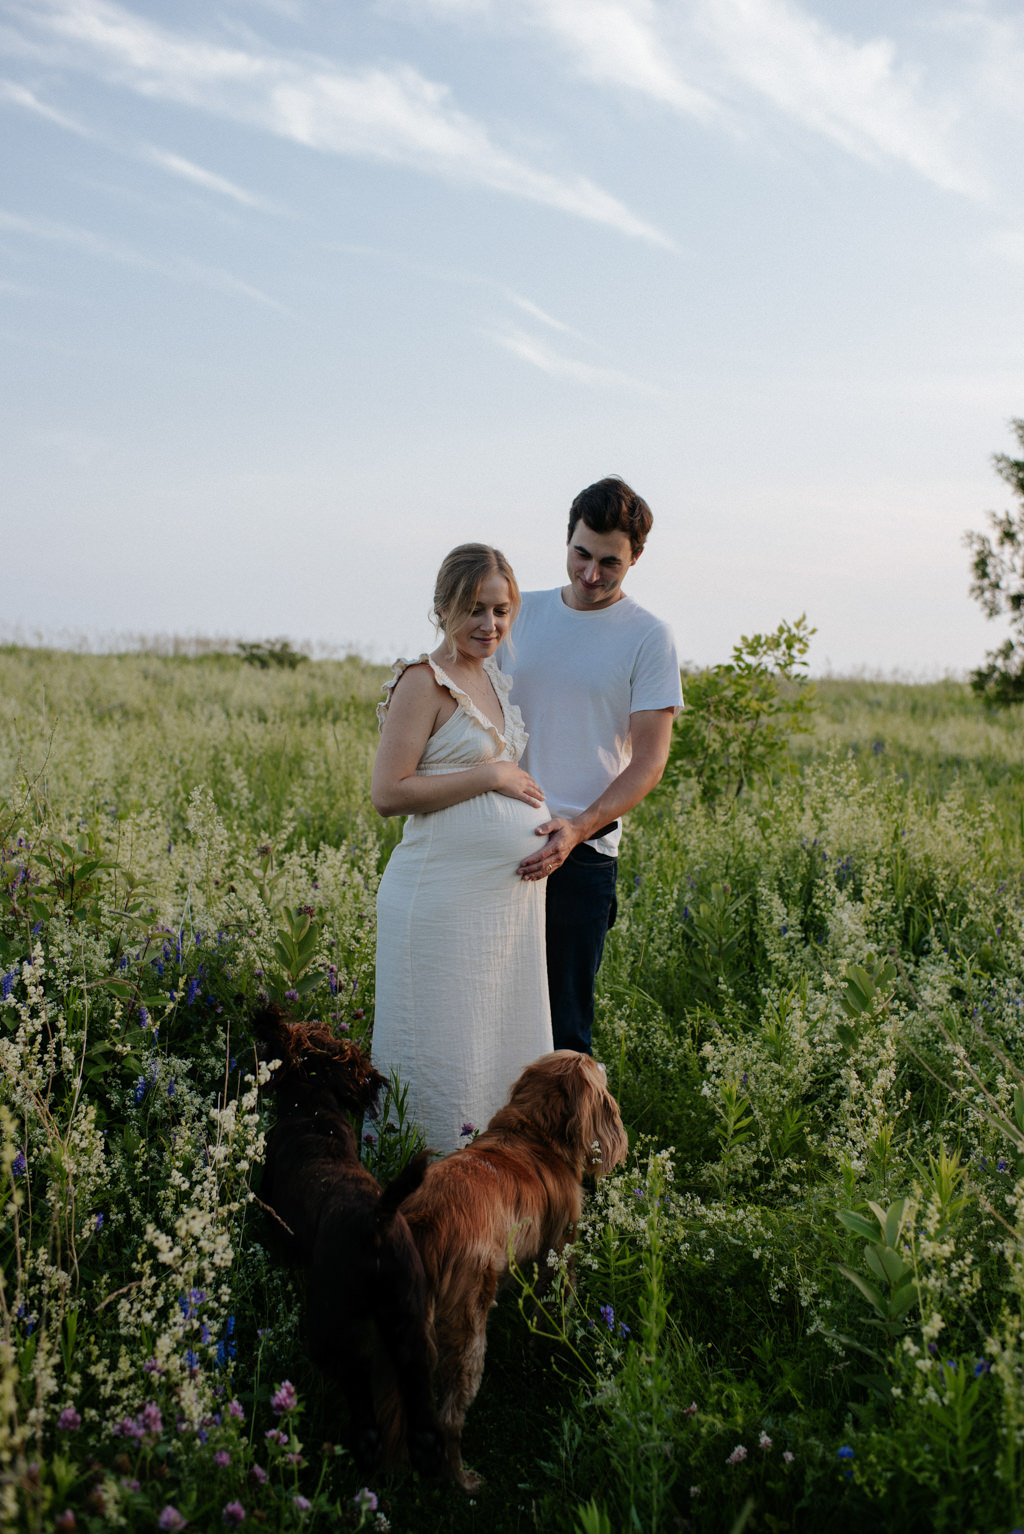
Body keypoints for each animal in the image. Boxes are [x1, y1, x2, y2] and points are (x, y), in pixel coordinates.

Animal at [254, 1006, 441, 1472]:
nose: (374, 1080)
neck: (311, 1107)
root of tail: (378, 1219)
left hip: (330, 1321)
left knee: (356, 1381)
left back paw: (363, 1445)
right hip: (409, 1314)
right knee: (417, 1379)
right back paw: (424, 1449)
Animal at [398, 1049, 625, 1491]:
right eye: (592, 1065)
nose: (602, 1059)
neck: (534, 1137)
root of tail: (427, 1223)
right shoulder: (558, 1251)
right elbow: (551, 1312)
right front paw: (547, 1354)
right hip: (467, 1333)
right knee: (450, 1418)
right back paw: (463, 1480)